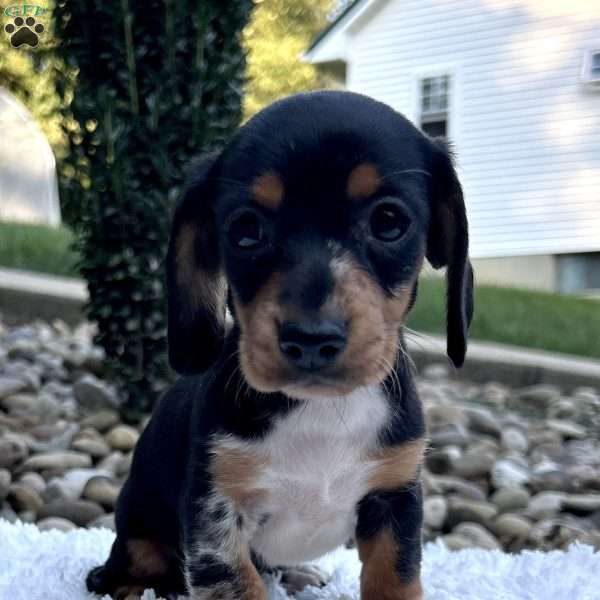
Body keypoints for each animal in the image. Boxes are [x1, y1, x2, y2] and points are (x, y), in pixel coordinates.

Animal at [88, 90, 474, 600]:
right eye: (246, 229)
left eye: (389, 221)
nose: (311, 338)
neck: (321, 413)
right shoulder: (216, 514)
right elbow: (239, 582)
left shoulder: (396, 496)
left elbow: (394, 578)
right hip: (137, 529)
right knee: (126, 565)